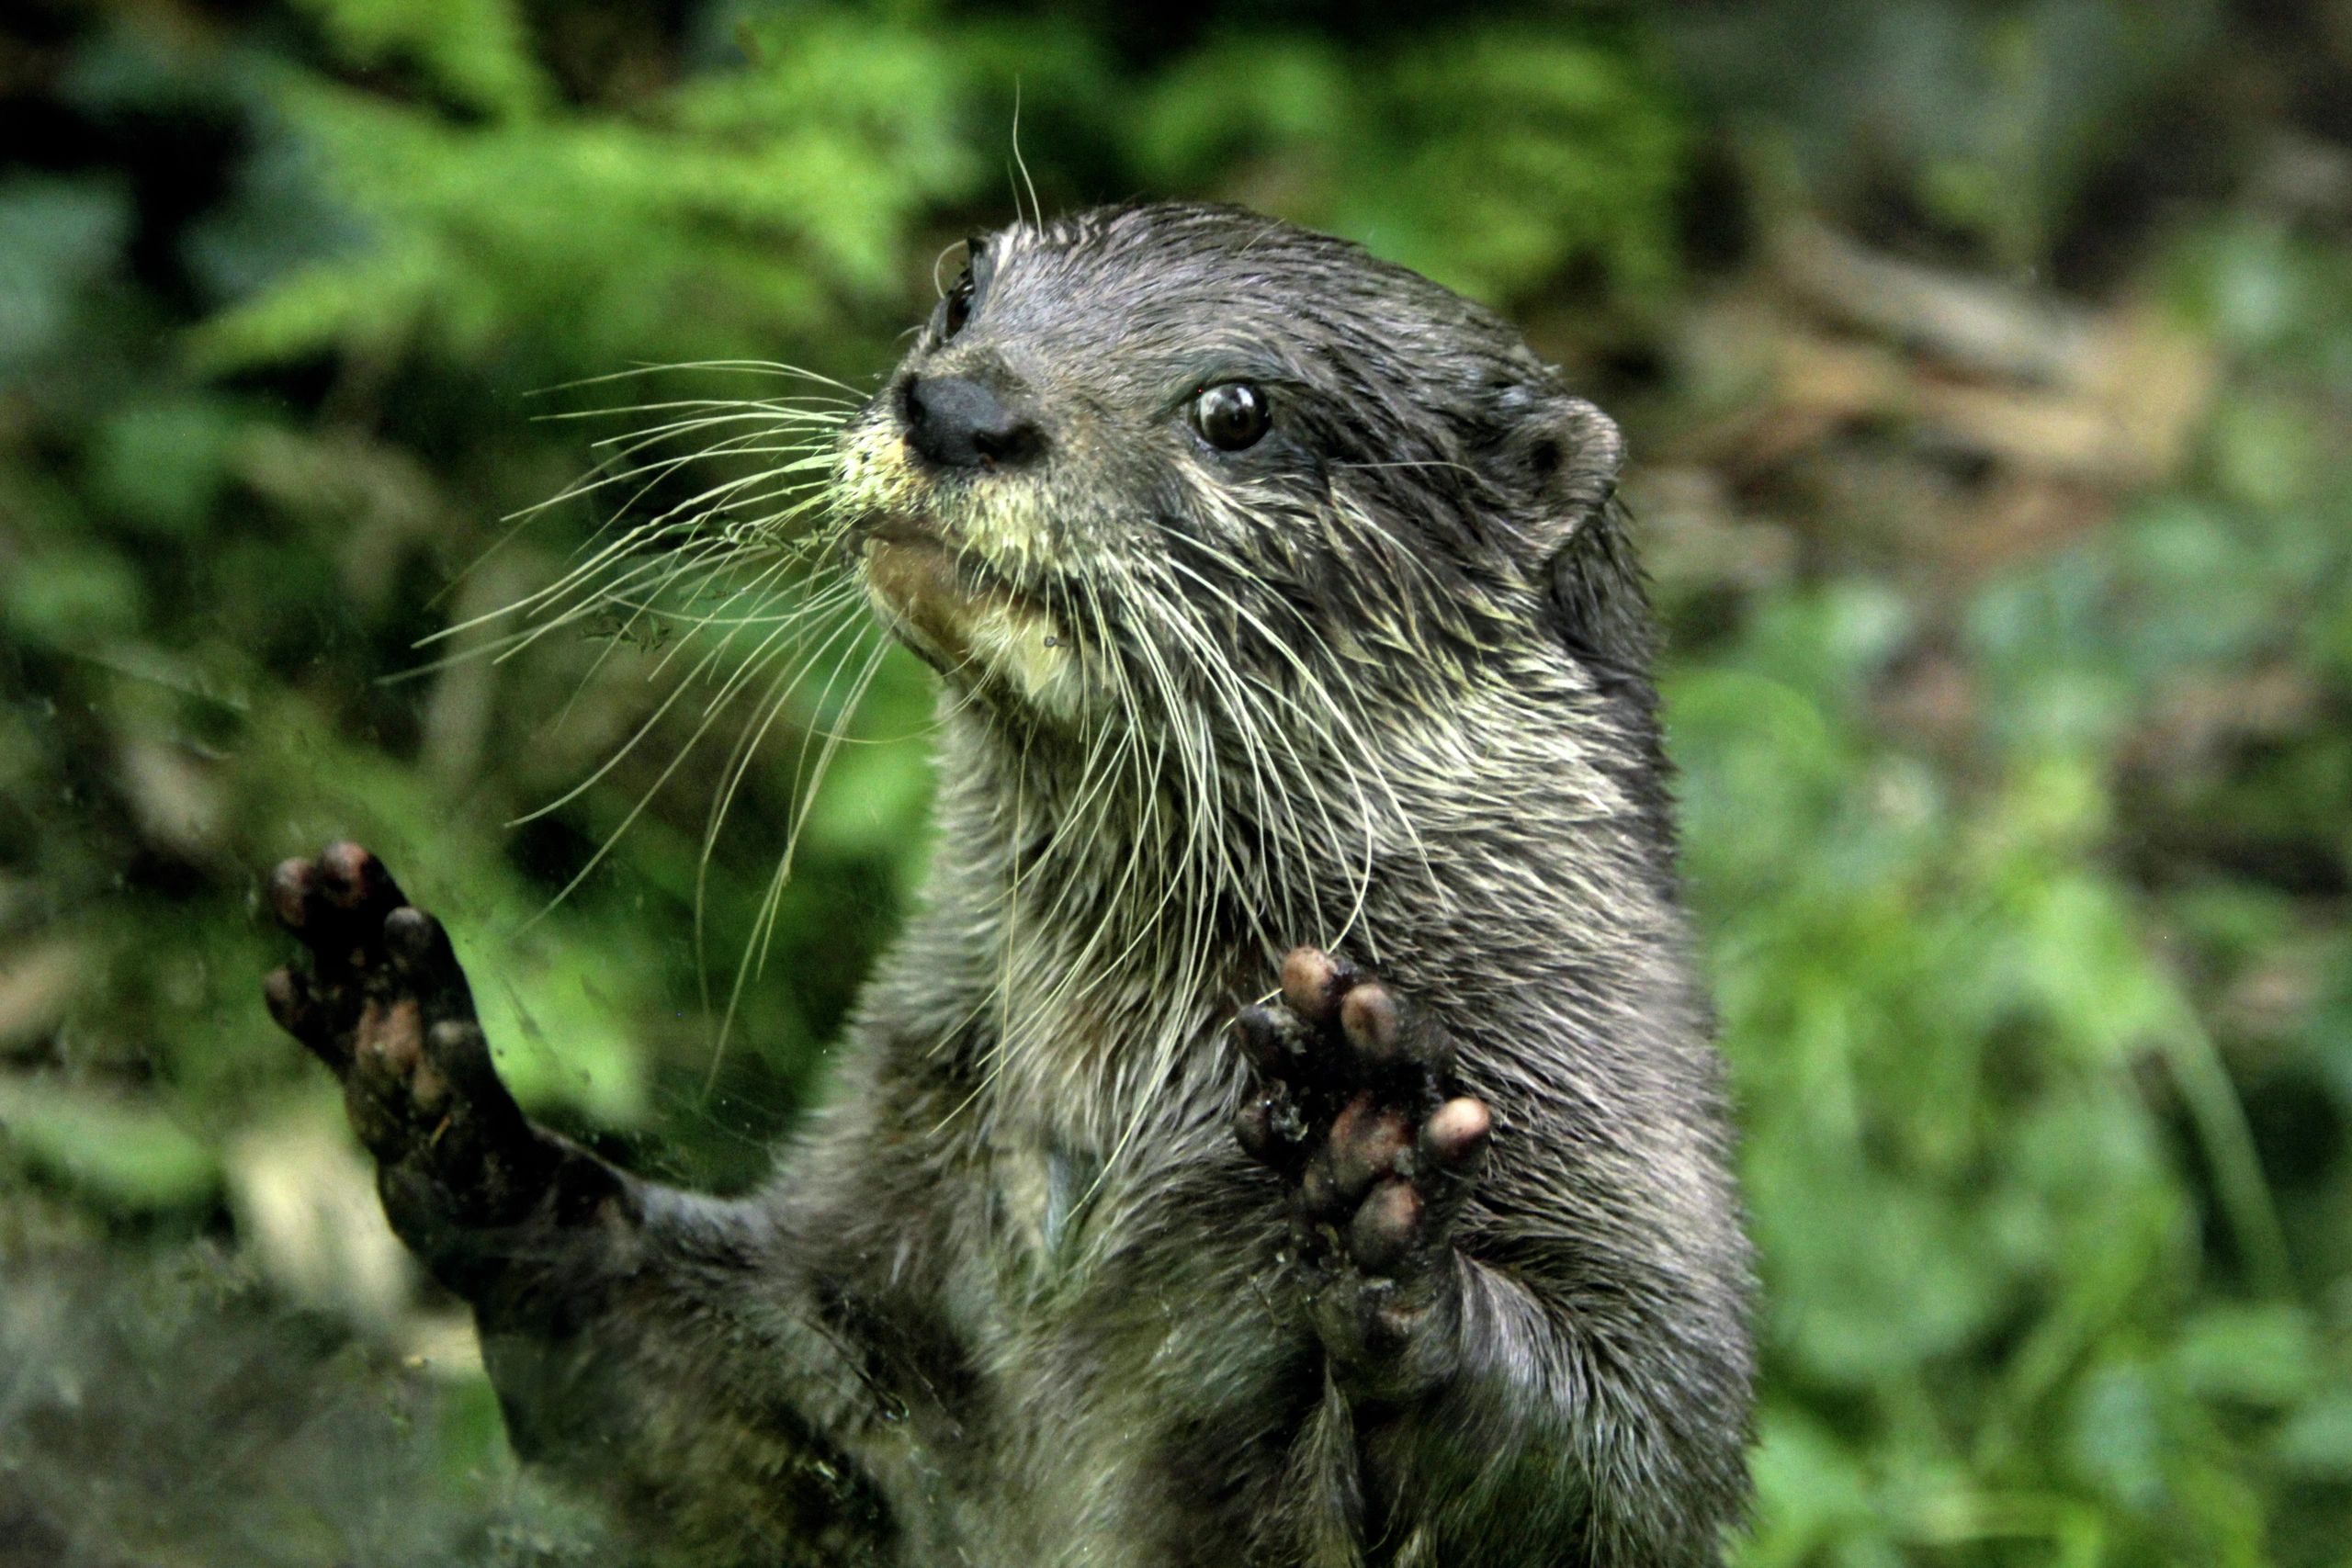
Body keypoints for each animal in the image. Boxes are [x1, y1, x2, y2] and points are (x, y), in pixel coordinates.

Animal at [262, 202, 1753, 1567]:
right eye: (963, 288)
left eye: (1236, 409)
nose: (961, 404)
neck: (1120, 1106)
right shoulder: (849, 1311)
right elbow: (673, 1400)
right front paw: (426, 1058)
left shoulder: (1630, 1203)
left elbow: (1605, 1467)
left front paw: (1381, 1190)